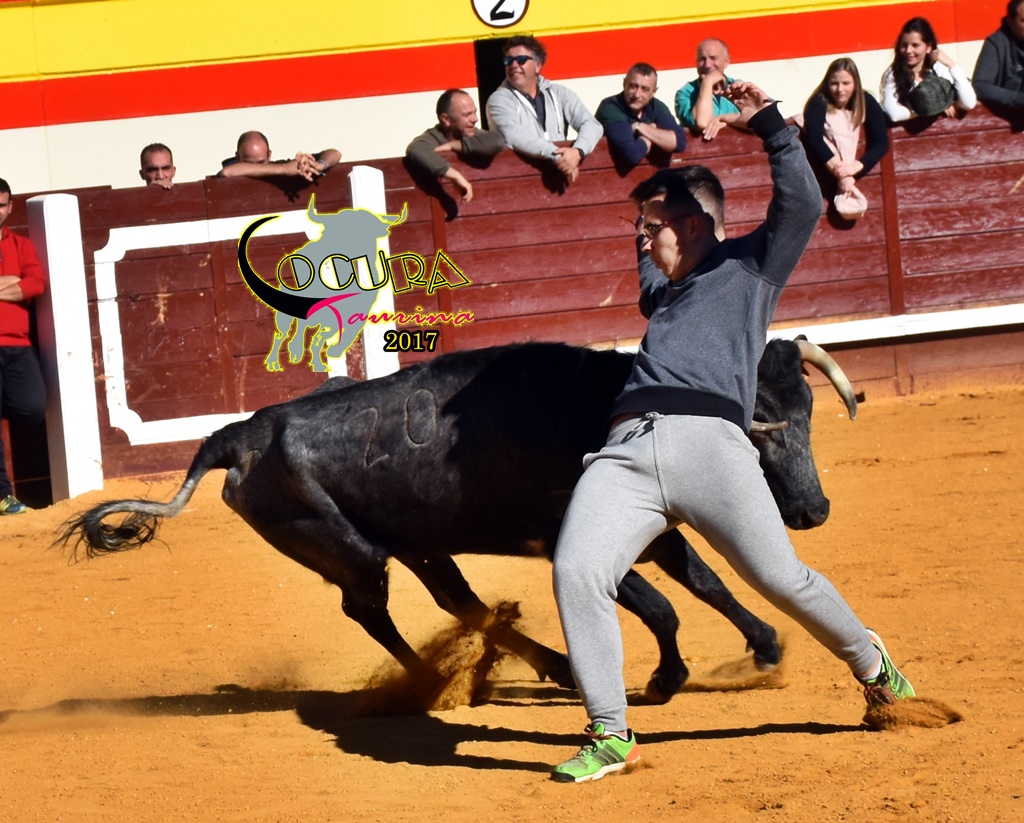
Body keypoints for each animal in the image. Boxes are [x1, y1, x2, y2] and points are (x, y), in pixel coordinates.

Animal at [57, 337, 856, 703]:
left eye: (810, 414)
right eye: (763, 427)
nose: (814, 510)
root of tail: (240, 434)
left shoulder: (654, 529)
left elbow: (705, 582)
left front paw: (766, 644)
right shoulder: (575, 541)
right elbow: (662, 603)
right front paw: (668, 677)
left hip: (413, 543)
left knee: (456, 599)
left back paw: (549, 666)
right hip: (352, 551)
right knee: (371, 610)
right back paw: (425, 684)